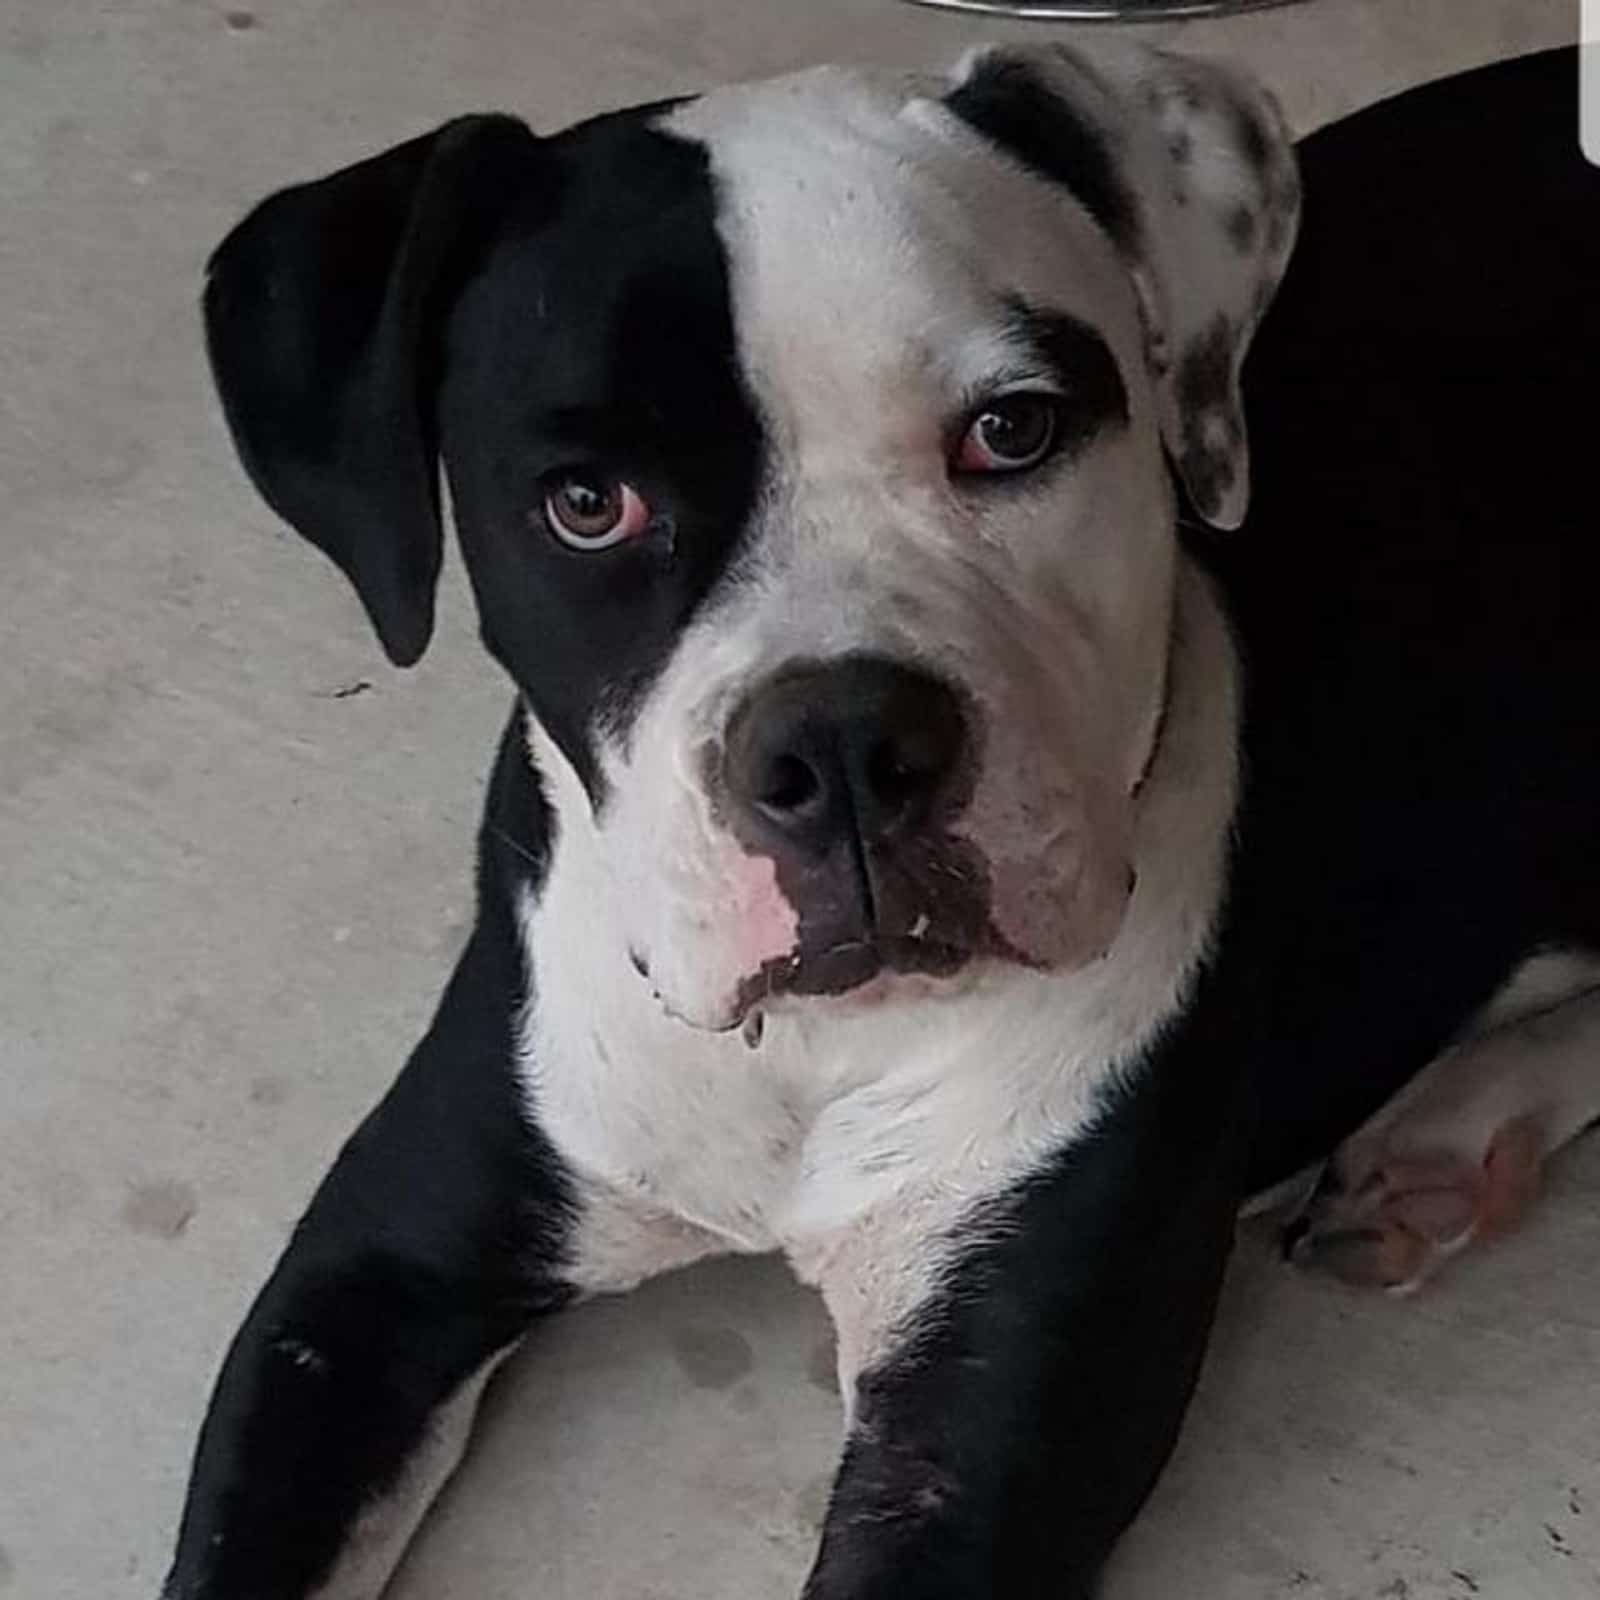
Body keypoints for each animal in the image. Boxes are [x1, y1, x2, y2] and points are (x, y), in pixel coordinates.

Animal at [168, 43, 1593, 1593]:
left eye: (1012, 431)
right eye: (586, 504)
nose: (843, 744)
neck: (817, 1047)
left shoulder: (975, 1439)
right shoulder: (366, 1286)